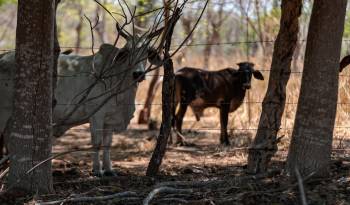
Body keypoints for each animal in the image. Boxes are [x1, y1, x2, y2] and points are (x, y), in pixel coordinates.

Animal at [0, 29, 163, 176]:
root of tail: (3, 57)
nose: (138, 74)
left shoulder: (110, 119)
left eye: (147, 52)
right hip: (4, 112)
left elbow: (107, 144)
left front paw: (109, 170)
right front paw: (97, 170)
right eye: (128, 51)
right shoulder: (97, 115)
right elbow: (97, 143)